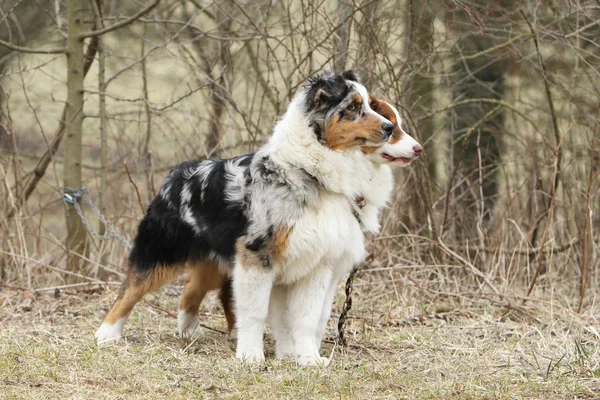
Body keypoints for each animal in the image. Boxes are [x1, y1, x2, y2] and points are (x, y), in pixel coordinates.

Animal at [95, 71, 422, 366]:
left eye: (369, 106)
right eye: (353, 107)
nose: (389, 128)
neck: (310, 176)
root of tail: (178, 171)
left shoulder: (317, 264)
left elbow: (306, 318)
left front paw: (306, 358)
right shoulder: (258, 257)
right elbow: (256, 313)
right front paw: (251, 356)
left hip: (213, 261)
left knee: (191, 291)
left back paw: (190, 331)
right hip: (161, 251)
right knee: (130, 290)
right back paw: (107, 334)